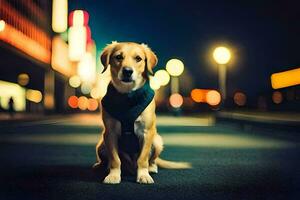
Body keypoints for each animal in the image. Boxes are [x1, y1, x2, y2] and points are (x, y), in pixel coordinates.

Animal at [94, 41, 191, 184]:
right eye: (118, 57)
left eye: (138, 58)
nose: (127, 71)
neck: (128, 96)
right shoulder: (110, 133)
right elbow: (115, 159)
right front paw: (114, 175)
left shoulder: (147, 133)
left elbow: (143, 158)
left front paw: (143, 175)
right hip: (101, 144)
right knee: (108, 160)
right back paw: (101, 166)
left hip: (157, 141)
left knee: (152, 160)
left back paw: (151, 168)